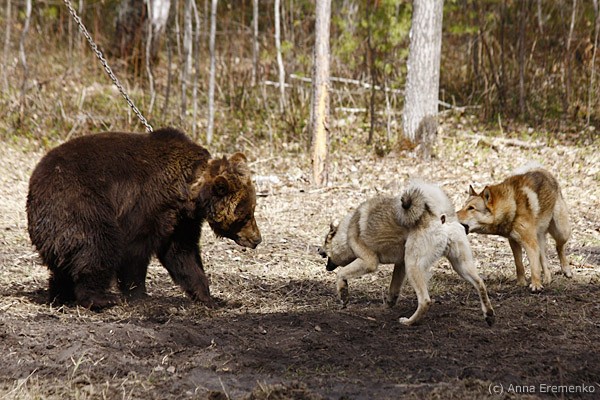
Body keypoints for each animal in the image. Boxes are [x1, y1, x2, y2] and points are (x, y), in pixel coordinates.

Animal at [26, 127, 262, 310]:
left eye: (252, 210)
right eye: (245, 215)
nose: (257, 239)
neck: (188, 192)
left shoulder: (181, 220)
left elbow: (183, 253)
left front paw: (209, 297)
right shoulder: (148, 203)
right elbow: (135, 249)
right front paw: (138, 294)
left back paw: (61, 295)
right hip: (81, 205)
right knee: (99, 244)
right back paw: (99, 299)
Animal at [318, 180, 495, 326]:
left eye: (325, 241)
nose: (318, 250)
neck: (347, 231)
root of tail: (440, 217)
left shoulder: (369, 262)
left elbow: (341, 274)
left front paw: (343, 293)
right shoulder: (400, 265)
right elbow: (393, 288)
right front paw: (388, 304)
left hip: (413, 266)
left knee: (425, 301)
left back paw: (409, 322)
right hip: (460, 265)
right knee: (480, 283)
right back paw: (489, 315)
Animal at [457, 163, 572, 292]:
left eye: (471, 208)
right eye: (463, 206)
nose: (452, 215)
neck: (512, 206)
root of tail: (542, 170)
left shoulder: (530, 244)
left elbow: (534, 266)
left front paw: (536, 285)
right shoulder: (514, 242)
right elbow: (519, 264)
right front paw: (521, 283)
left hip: (561, 232)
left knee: (559, 247)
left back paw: (566, 270)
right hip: (540, 238)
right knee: (544, 258)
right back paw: (547, 279)